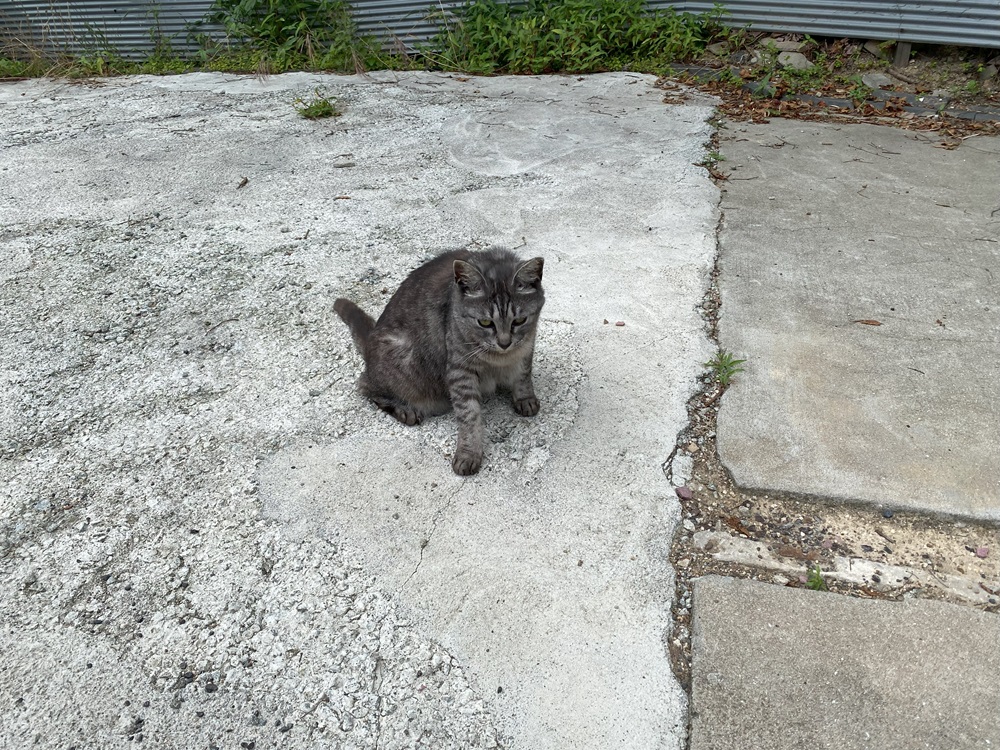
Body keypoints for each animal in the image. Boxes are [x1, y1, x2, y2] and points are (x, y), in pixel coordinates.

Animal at [334, 250, 548, 478]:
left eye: (519, 321)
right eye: (485, 322)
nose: (504, 343)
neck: (500, 359)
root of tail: (370, 341)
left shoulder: (526, 348)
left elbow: (523, 376)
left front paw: (525, 398)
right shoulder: (460, 370)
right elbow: (469, 414)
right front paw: (469, 453)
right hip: (403, 366)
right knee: (366, 386)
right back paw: (404, 410)